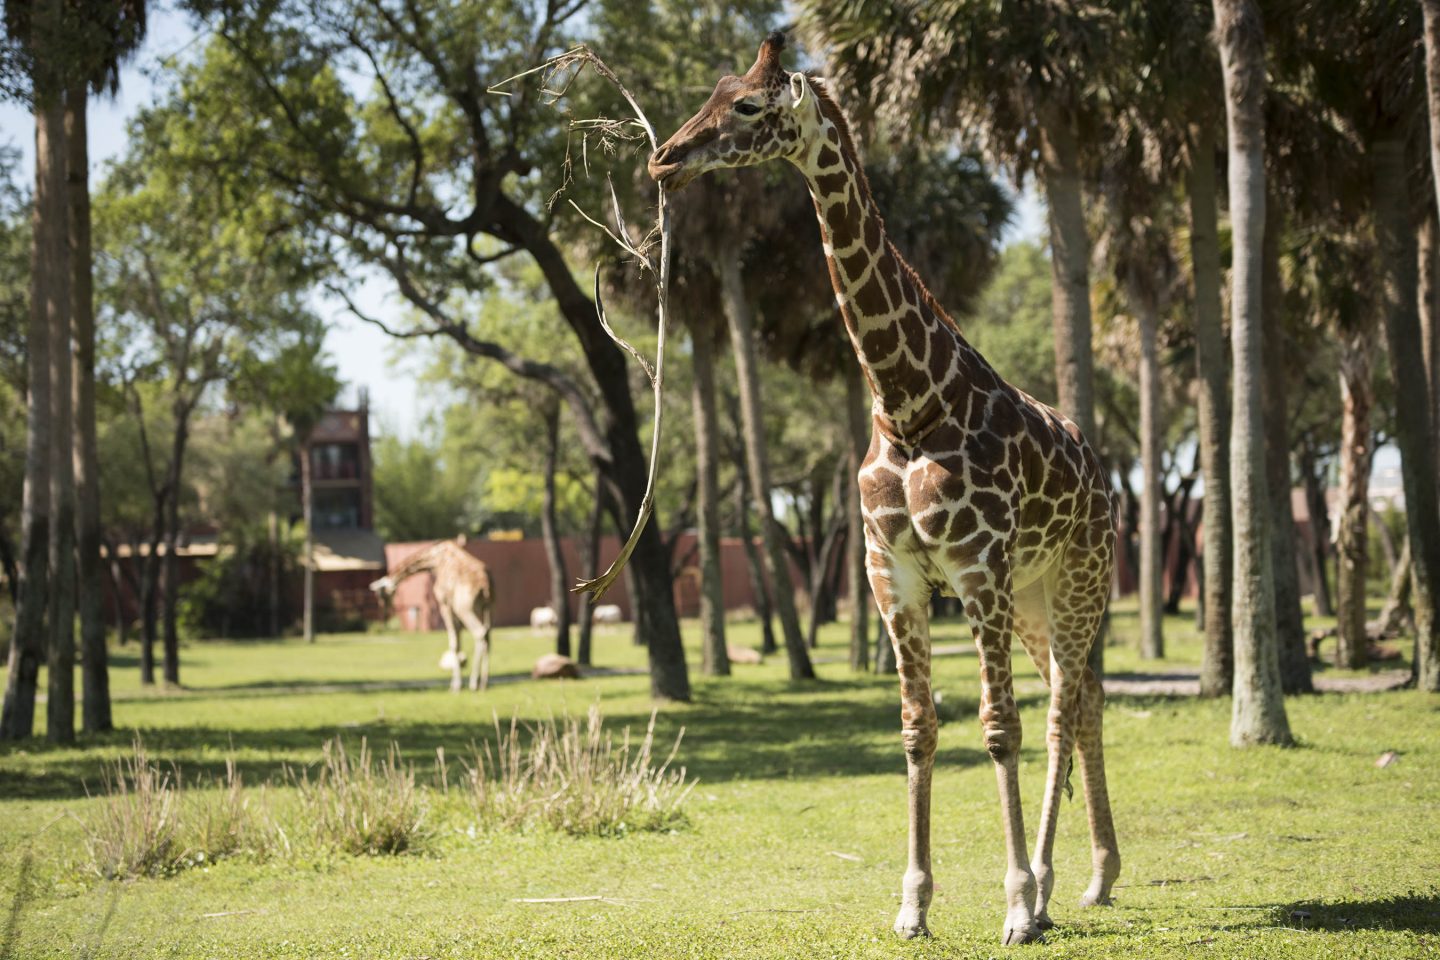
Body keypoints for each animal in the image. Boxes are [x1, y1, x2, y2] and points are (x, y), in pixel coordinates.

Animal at [371, 538, 495, 693]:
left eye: (383, 595)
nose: (385, 611)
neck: (433, 560)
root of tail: (485, 585)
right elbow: (458, 641)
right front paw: (457, 683)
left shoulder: (444, 604)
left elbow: (454, 643)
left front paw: (455, 686)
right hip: (487, 607)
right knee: (487, 634)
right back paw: (484, 682)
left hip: (465, 608)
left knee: (479, 632)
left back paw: (474, 684)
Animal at [653, 35, 1123, 944]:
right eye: (714, 90)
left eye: (749, 106)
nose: (664, 159)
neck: (908, 401)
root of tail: (1106, 478)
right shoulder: (889, 572)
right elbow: (917, 728)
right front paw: (913, 905)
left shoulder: (975, 569)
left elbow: (998, 728)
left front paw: (1014, 905)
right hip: (1037, 595)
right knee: (1081, 696)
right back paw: (1092, 878)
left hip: (1079, 578)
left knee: (1059, 711)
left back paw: (1050, 886)